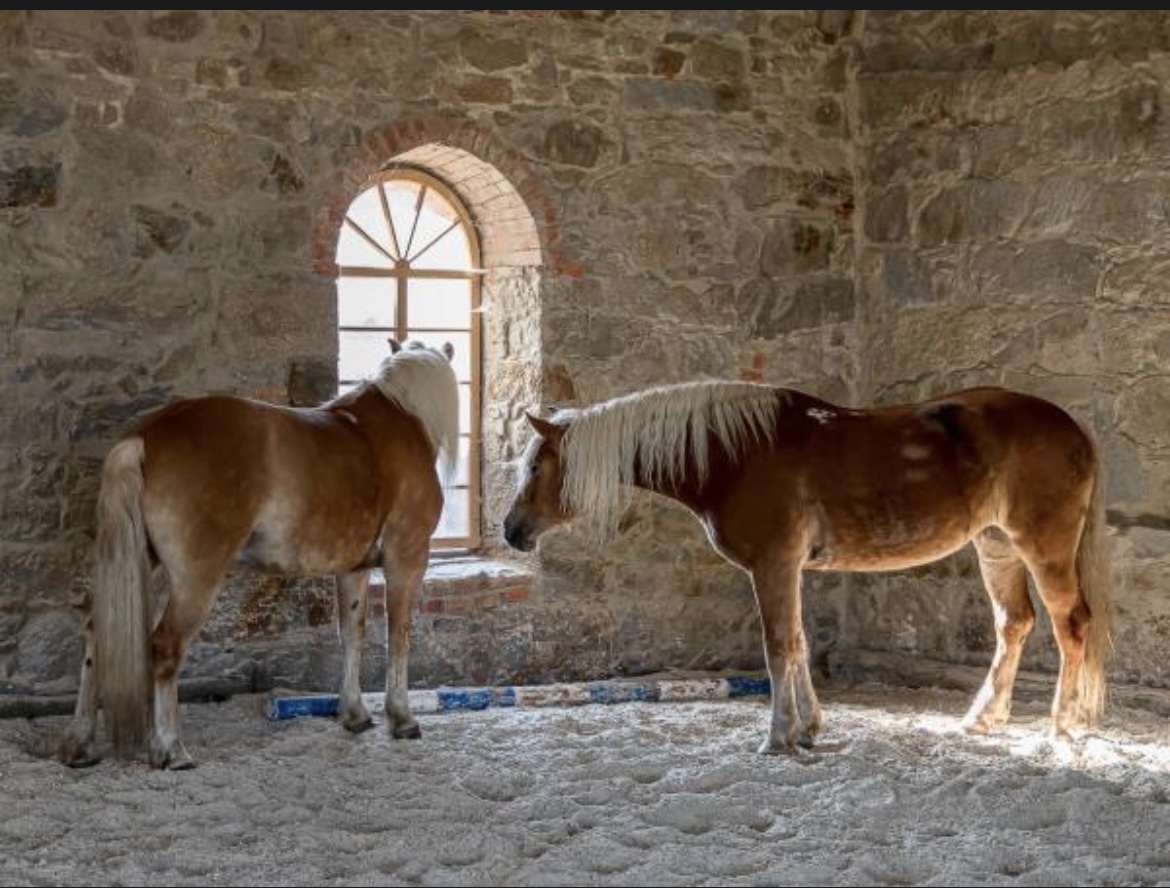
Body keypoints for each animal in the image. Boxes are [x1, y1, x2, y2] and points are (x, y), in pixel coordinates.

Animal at [59, 338, 459, 769]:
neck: (403, 421)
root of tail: (147, 435)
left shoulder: (354, 568)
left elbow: (353, 633)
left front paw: (354, 714)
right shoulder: (407, 558)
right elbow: (399, 635)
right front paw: (402, 718)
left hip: (145, 567)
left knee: (96, 634)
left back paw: (79, 744)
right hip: (196, 577)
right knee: (165, 646)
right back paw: (171, 749)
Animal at [502, 381, 1113, 755]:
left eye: (535, 468)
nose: (511, 531)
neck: (736, 453)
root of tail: (1073, 427)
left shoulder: (772, 565)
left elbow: (778, 647)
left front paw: (778, 738)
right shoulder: (786, 569)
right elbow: (796, 643)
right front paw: (809, 727)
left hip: (1044, 548)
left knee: (1071, 625)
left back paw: (1063, 726)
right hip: (996, 547)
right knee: (1015, 624)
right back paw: (986, 717)